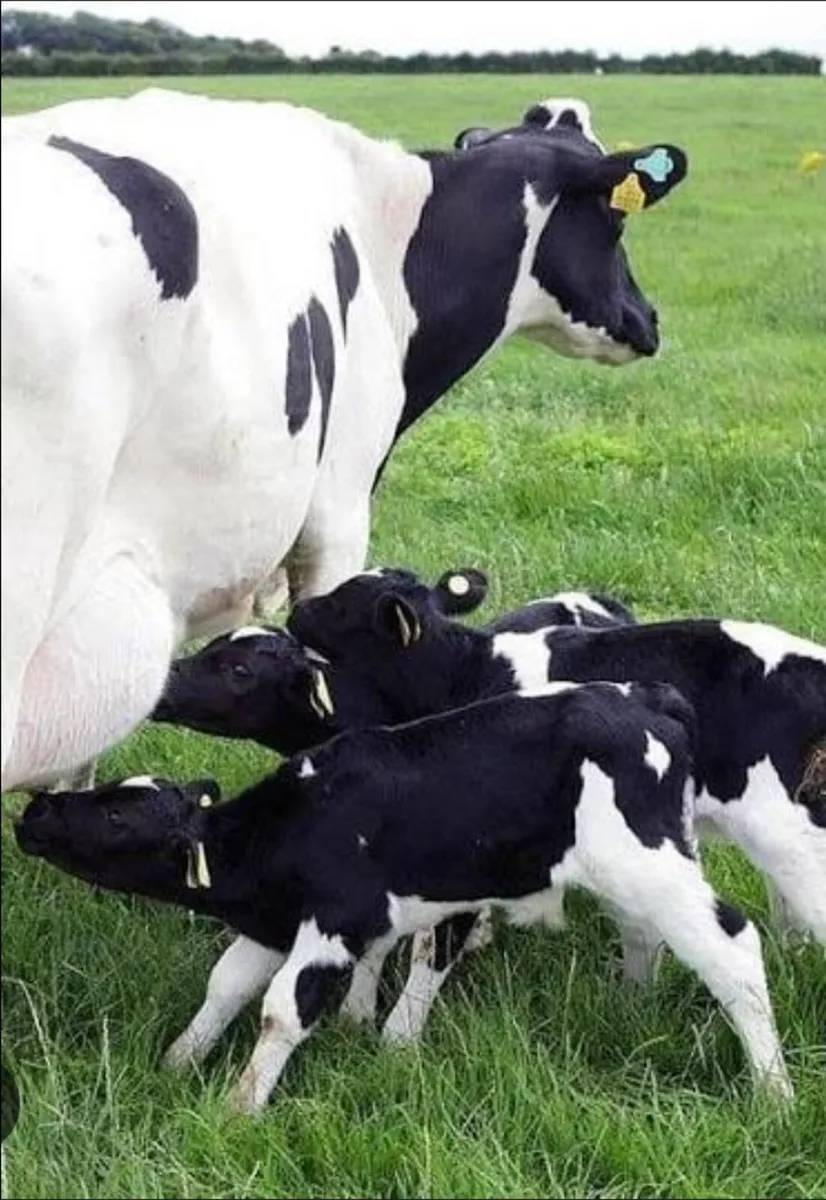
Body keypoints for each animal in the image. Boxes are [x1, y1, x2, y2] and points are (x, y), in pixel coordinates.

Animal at [15, 680, 792, 1113]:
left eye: (119, 815)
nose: (35, 812)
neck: (292, 823)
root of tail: (645, 699)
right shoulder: (272, 923)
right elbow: (225, 986)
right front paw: (179, 1062)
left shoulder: (333, 923)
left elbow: (281, 1011)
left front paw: (241, 1107)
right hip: (645, 870)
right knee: (648, 934)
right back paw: (630, 1006)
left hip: (647, 863)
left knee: (732, 948)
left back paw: (774, 1093)